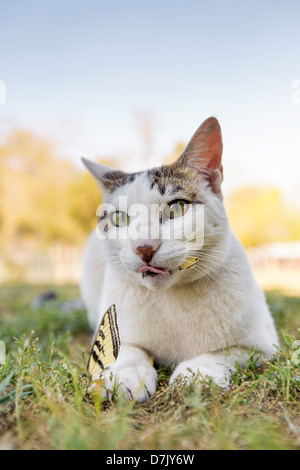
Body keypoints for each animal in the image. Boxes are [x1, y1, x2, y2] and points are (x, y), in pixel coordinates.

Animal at [79, 116, 278, 400]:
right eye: (119, 218)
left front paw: (195, 375)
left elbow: (220, 354)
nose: (144, 246)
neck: (171, 298)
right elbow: (129, 351)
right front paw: (126, 375)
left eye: (176, 209)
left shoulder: (263, 347)